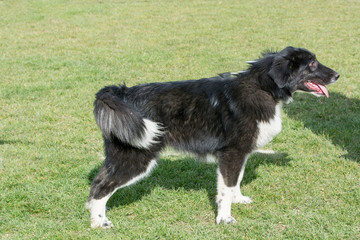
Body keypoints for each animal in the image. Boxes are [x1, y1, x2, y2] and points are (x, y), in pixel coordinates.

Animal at [86, 46, 338, 228]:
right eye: (312, 63)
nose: (337, 75)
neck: (262, 88)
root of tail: (122, 93)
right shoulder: (231, 153)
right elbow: (226, 189)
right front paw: (224, 219)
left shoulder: (239, 154)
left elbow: (235, 181)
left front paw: (238, 200)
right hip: (135, 159)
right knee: (100, 187)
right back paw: (99, 223)